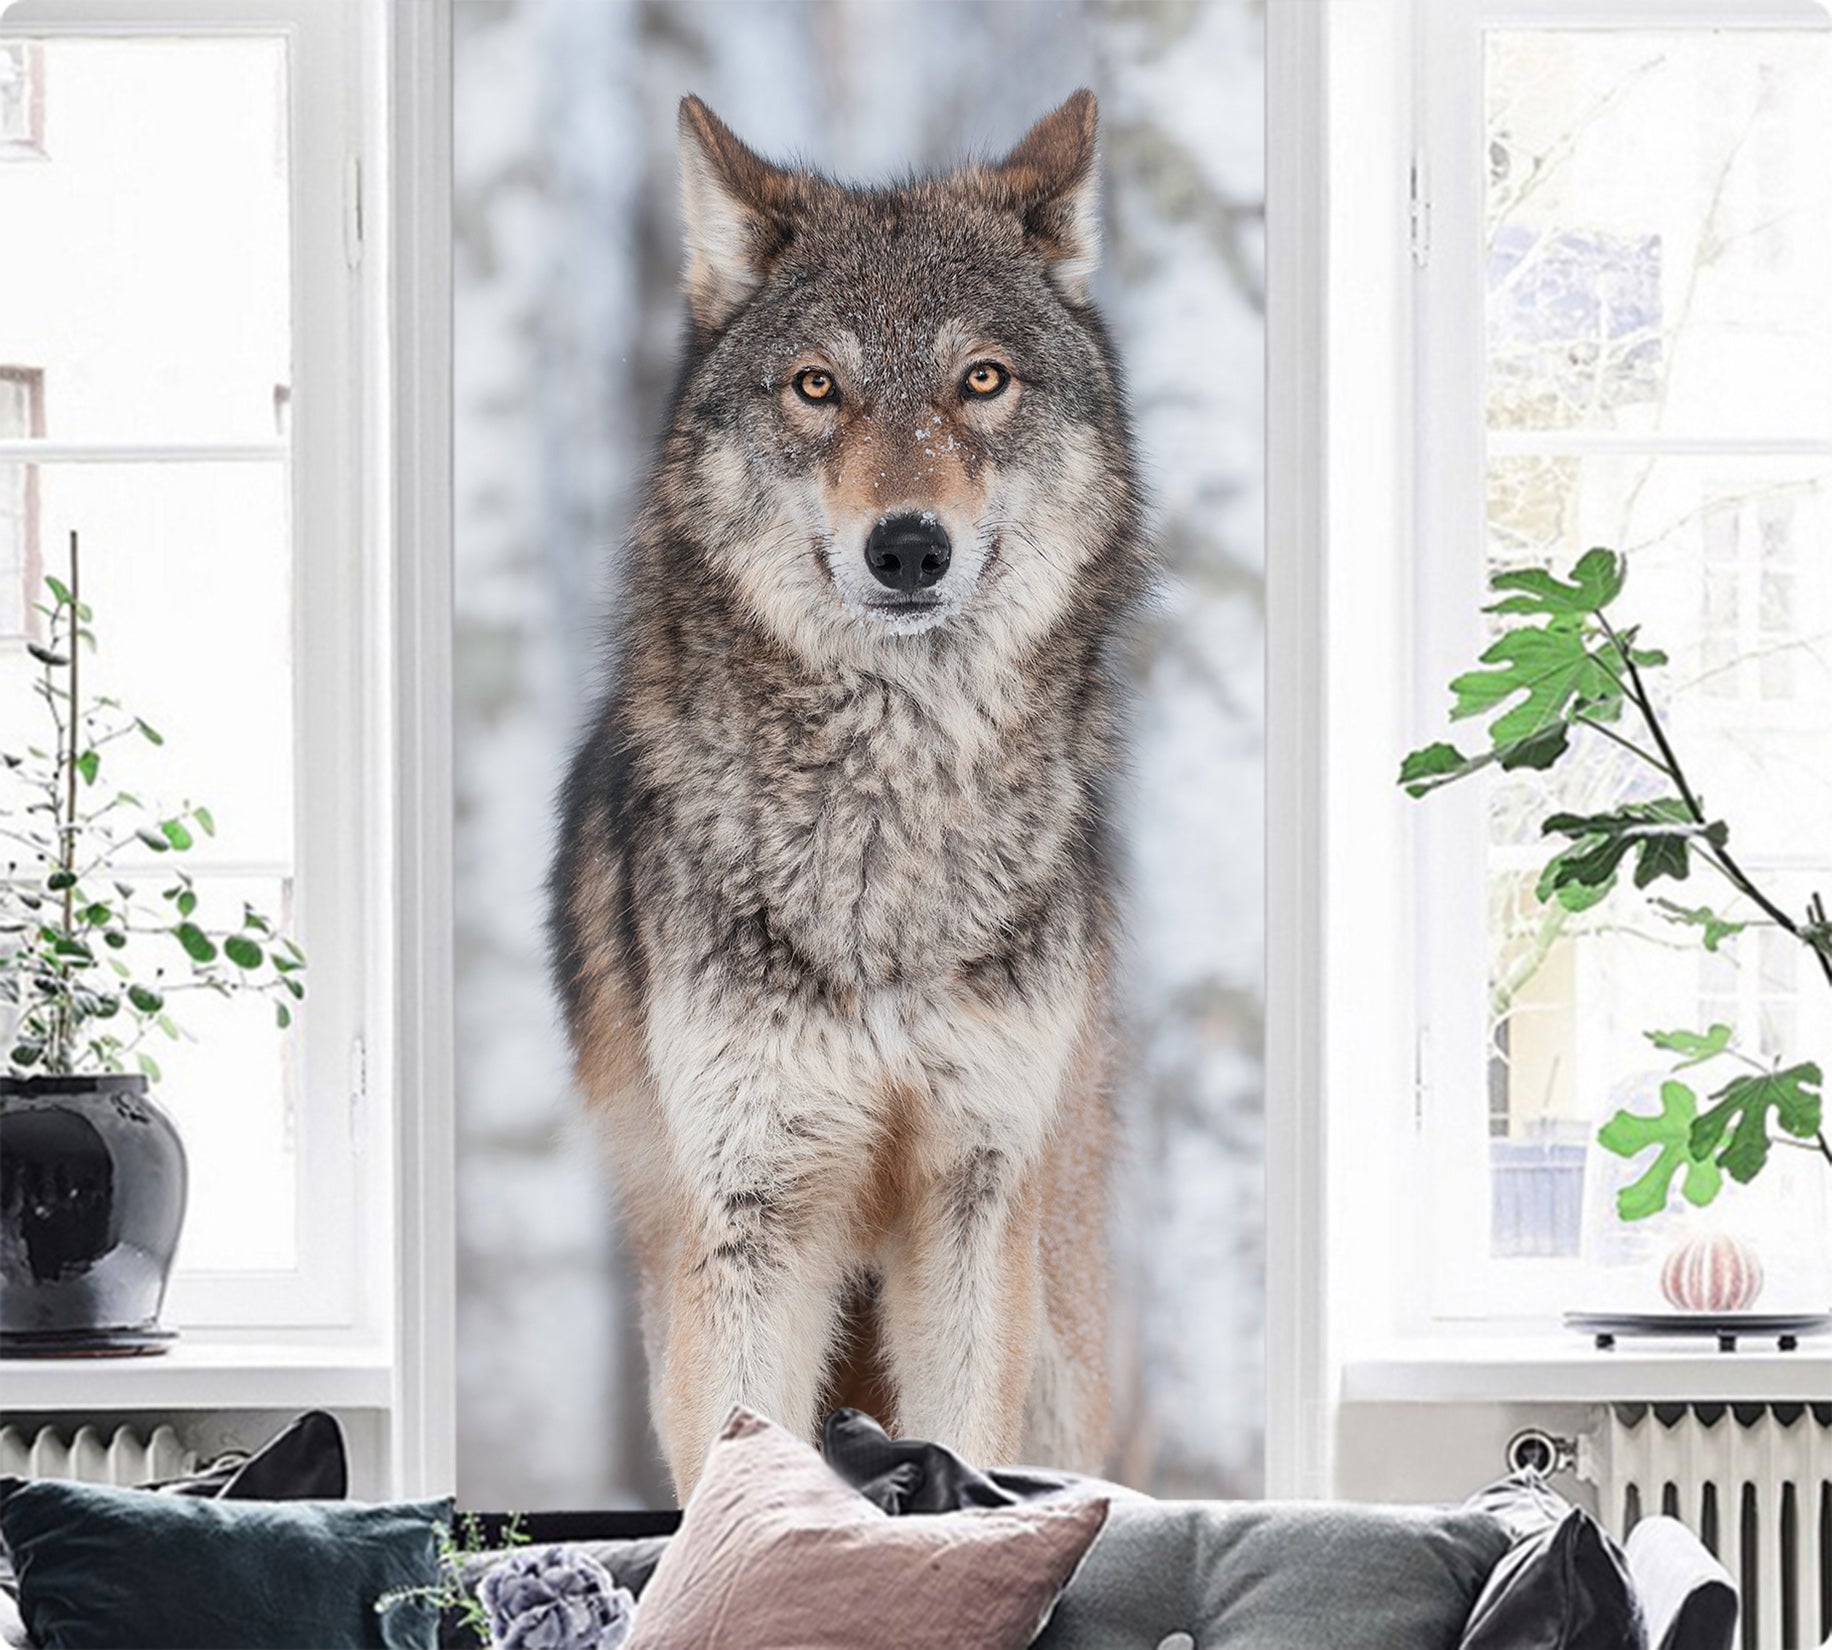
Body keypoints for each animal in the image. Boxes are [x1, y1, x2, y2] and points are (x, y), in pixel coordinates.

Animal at [548, 89, 1148, 1498]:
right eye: (816, 386)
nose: (909, 548)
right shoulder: (751, 1214)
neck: (890, 817)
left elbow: (965, 1449)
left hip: (1056, 1335)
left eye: (981, 379)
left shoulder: (972, 1202)